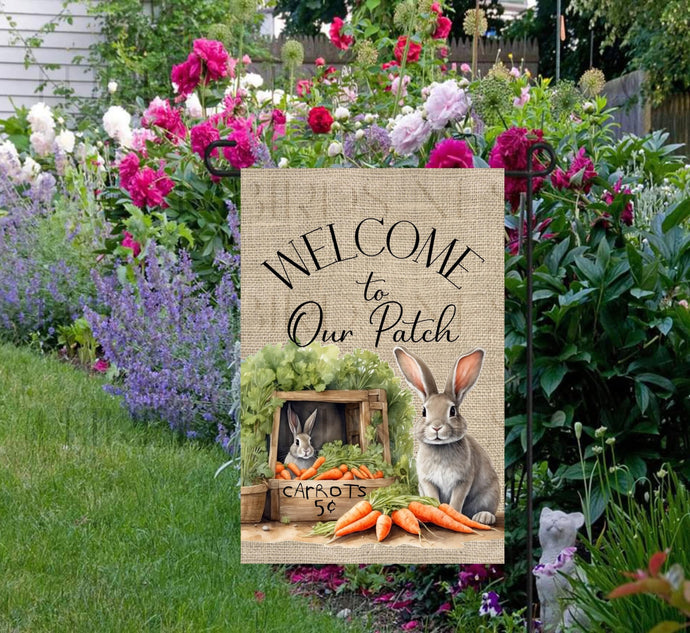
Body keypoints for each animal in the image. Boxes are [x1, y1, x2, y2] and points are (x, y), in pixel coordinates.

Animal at [392, 346, 500, 524]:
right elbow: (433, 498)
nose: (436, 427)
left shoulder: (463, 480)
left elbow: (456, 501)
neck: (440, 447)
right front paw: (434, 514)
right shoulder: (427, 481)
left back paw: (483, 517)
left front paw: (453, 515)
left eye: (452, 411)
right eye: (424, 411)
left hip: (490, 493)